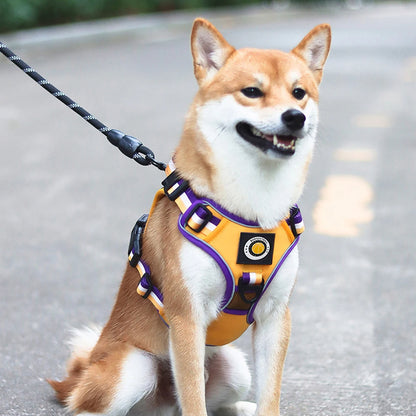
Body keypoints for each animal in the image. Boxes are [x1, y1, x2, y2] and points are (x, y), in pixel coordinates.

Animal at [48, 17, 332, 416]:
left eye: (299, 93)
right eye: (251, 91)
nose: (295, 116)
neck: (252, 211)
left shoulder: (276, 316)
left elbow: (269, 397)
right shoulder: (186, 317)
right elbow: (194, 400)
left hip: (234, 367)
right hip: (136, 368)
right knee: (90, 406)